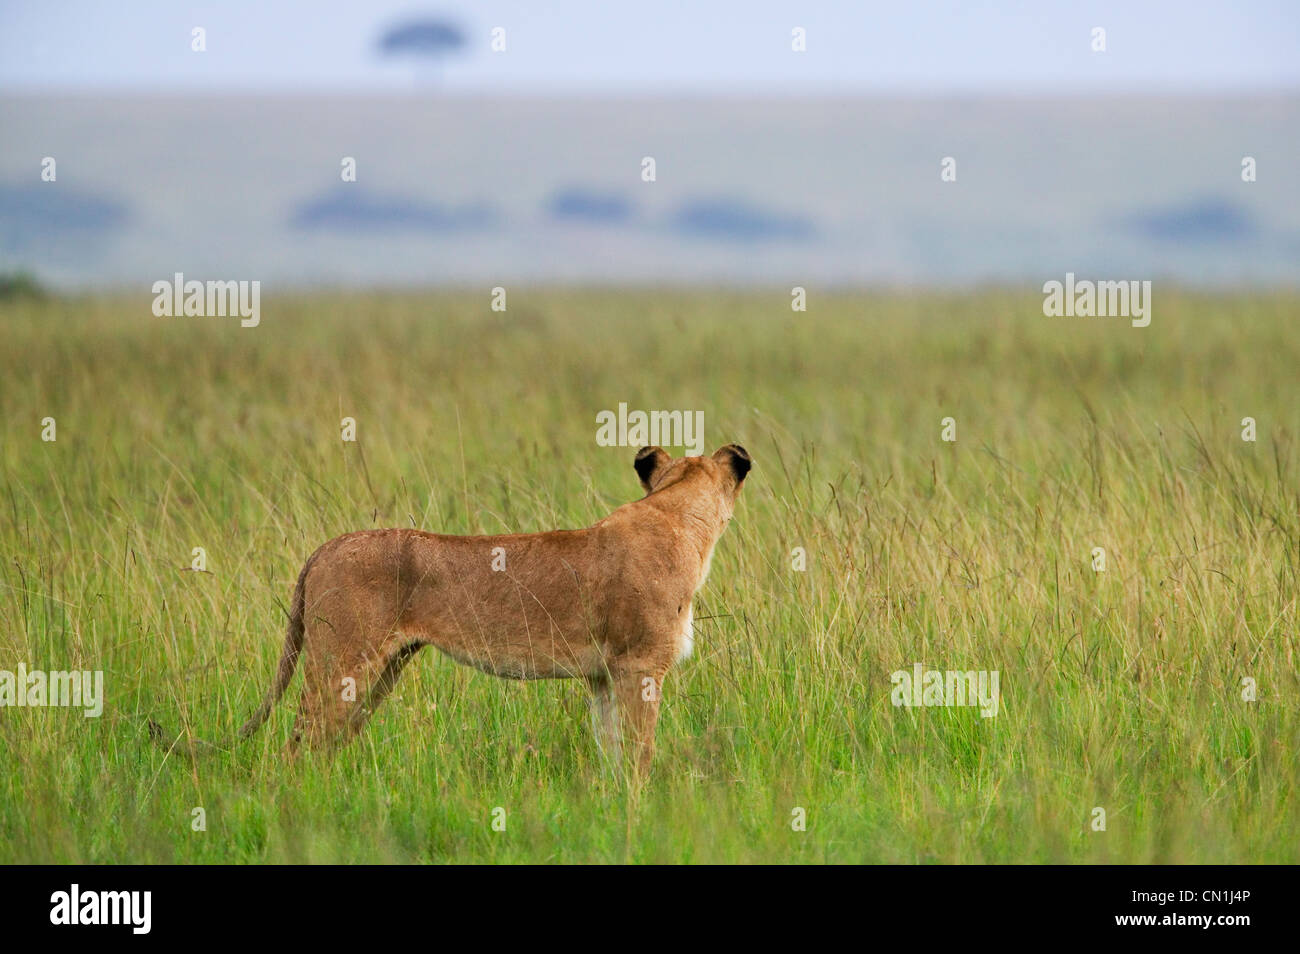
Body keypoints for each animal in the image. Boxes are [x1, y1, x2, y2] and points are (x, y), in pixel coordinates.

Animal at [234, 443, 751, 776]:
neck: (681, 517)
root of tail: (325, 547)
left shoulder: (605, 675)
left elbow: (612, 751)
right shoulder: (640, 665)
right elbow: (640, 753)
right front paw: (636, 813)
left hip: (382, 672)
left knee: (320, 747)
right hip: (342, 665)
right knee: (295, 749)